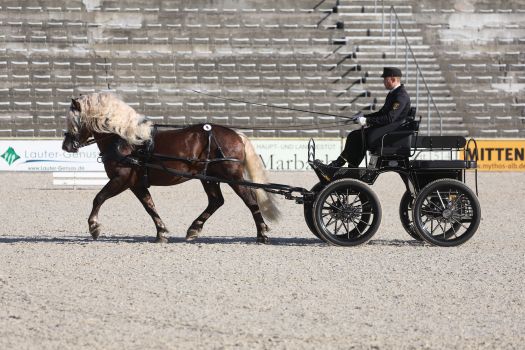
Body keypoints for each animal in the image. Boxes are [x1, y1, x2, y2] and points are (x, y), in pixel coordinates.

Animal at [61, 93, 278, 243]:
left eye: (73, 121)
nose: (66, 146)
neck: (125, 140)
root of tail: (235, 134)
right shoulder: (136, 184)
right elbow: (149, 206)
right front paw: (162, 232)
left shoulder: (121, 180)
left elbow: (99, 198)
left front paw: (94, 227)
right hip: (208, 177)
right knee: (216, 201)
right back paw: (194, 229)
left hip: (231, 176)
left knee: (250, 200)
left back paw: (261, 233)